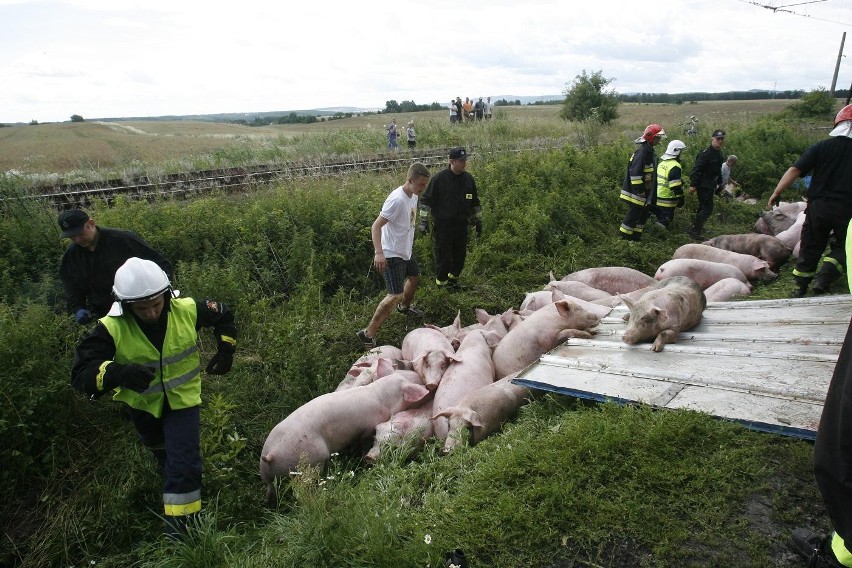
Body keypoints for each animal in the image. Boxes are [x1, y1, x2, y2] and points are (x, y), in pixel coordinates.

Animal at [260, 368, 430, 506]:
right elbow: (364, 442)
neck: (381, 397)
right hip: (310, 463)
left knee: (270, 490)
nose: (426, 384)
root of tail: (271, 455)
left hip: (266, 473)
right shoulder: (367, 428)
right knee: (301, 491)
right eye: (415, 381)